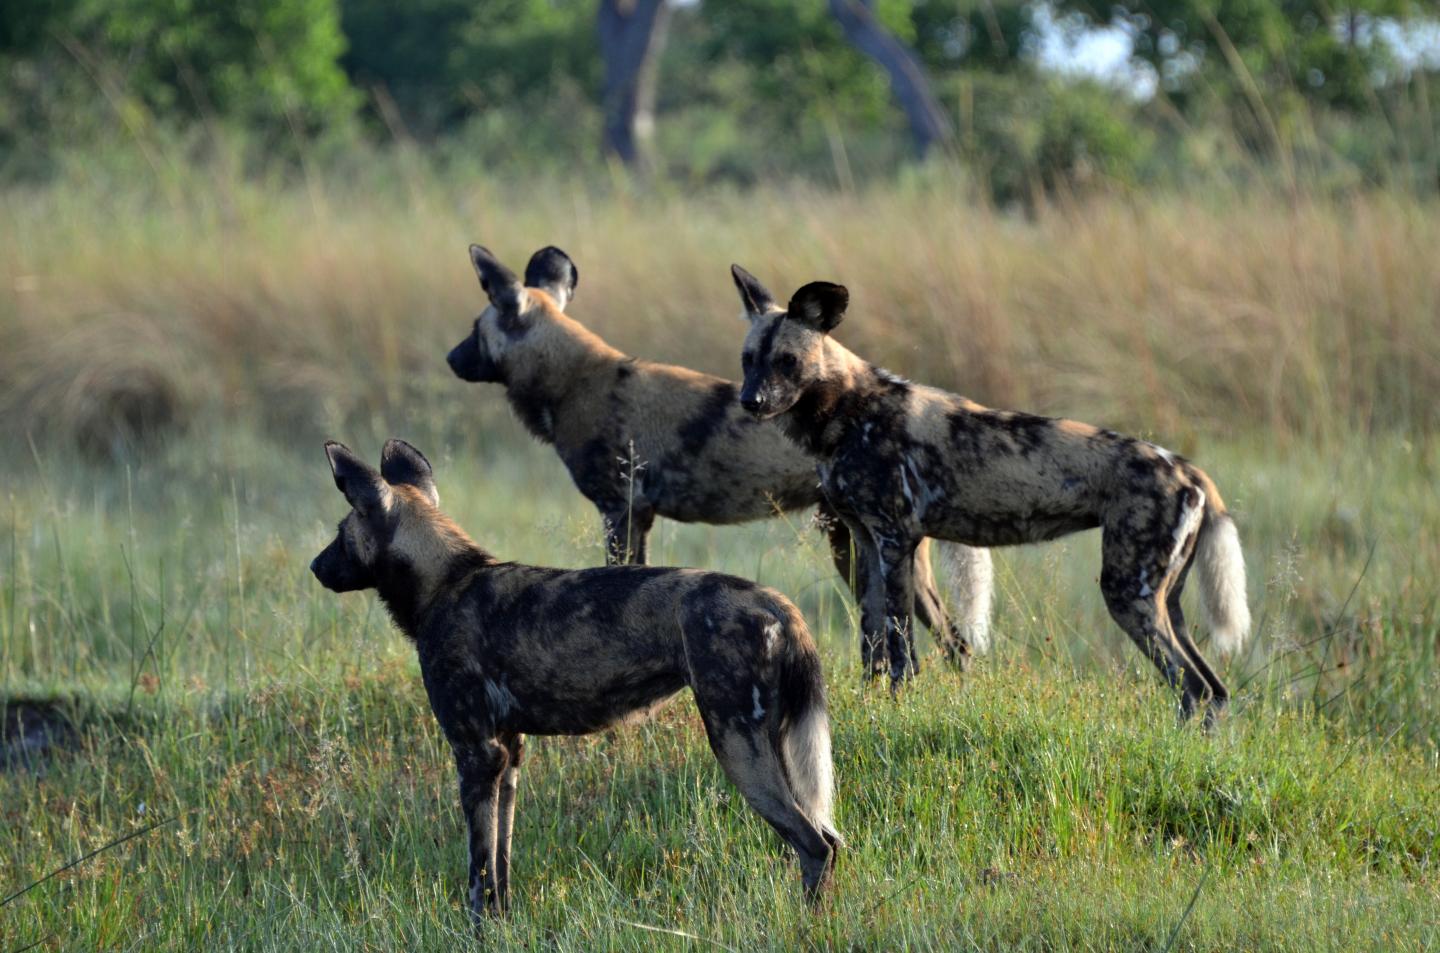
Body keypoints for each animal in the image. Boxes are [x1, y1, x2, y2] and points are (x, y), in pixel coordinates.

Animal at [309, 440, 840, 927]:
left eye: (339, 533)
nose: (314, 566)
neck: (446, 583)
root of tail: (777, 602)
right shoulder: (508, 754)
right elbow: (500, 863)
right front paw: (503, 925)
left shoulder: (476, 754)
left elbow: (478, 871)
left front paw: (476, 932)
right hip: (774, 744)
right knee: (830, 838)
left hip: (735, 743)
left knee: (813, 844)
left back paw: (807, 925)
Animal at [443, 243, 996, 667]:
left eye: (473, 328)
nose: (451, 358)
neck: (573, 380)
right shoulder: (639, 518)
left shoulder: (619, 511)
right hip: (853, 543)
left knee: (955, 642)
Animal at [731, 264, 1249, 728]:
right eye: (748, 359)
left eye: (788, 361)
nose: (750, 402)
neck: (847, 410)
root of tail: (1187, 467)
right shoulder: (867, 542)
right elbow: (872, 644)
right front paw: (870, 705)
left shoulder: (895, 542)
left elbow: (901, 651)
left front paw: (898, 710)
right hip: (1163, 599)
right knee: (1213, 690)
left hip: (1126, 592)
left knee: (1193, 686)